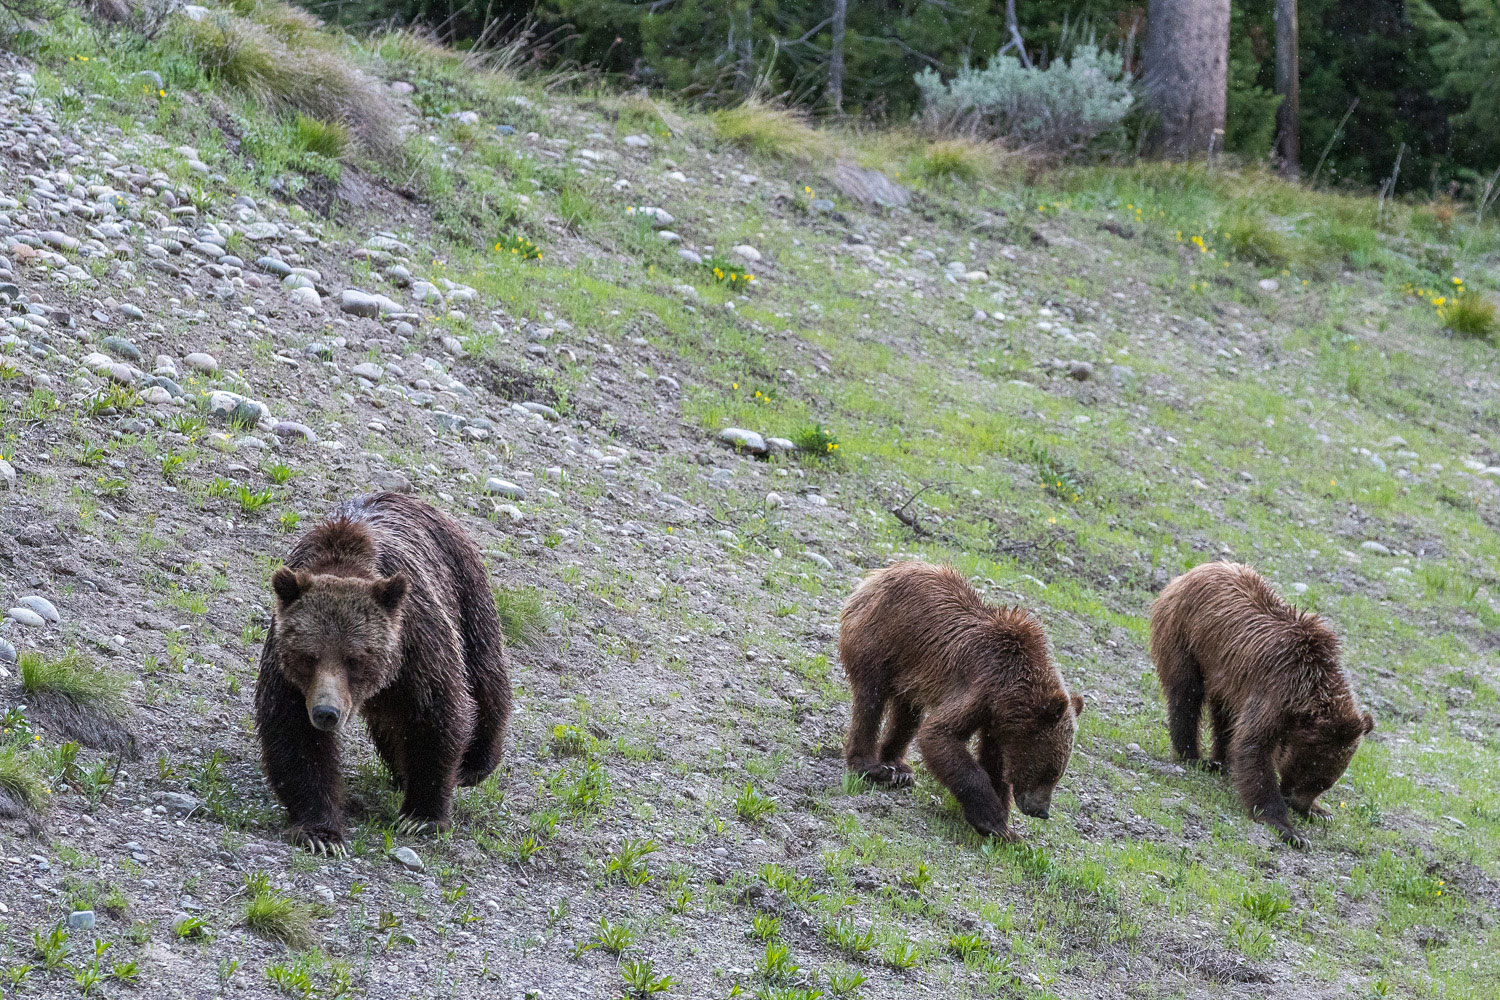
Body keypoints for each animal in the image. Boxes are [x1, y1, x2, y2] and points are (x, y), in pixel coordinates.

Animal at [255, 491, 513, 851]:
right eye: (308, 657)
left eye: (354, 658)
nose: (326, 713)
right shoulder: (288, 675)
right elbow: (295, 734)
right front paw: (321, 833)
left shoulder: (416, 645)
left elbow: (436, 716)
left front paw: (422, 816)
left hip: (467, 594)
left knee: (484, 675)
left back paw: (476, 762)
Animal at [840, 560, 1086, 839]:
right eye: (1049, 771)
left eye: (1057, 773)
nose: (1042, 810)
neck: (1010, 691)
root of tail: (874, 577)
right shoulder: (979, 687)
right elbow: (940, 735)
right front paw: (994, 822)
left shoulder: (996, 721)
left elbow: (994, 762)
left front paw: (1005, 823)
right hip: (881, 641)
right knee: (871, 700)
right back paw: (871, 767)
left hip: (910, 672)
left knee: (907, 716)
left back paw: (898, 768)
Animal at [1152, 563, 1374, 845]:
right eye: (1308, 771)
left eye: (1325, 782)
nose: (1299, 804)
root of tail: (1195, 570)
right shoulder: (1275, 691)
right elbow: (1254, 745)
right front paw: (1289, 829)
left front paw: (1321, 811)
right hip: (1187, 637)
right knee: (1186, 694)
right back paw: (1195, 757)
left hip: (1227, 675)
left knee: (1225, 716)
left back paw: (1223, 761)